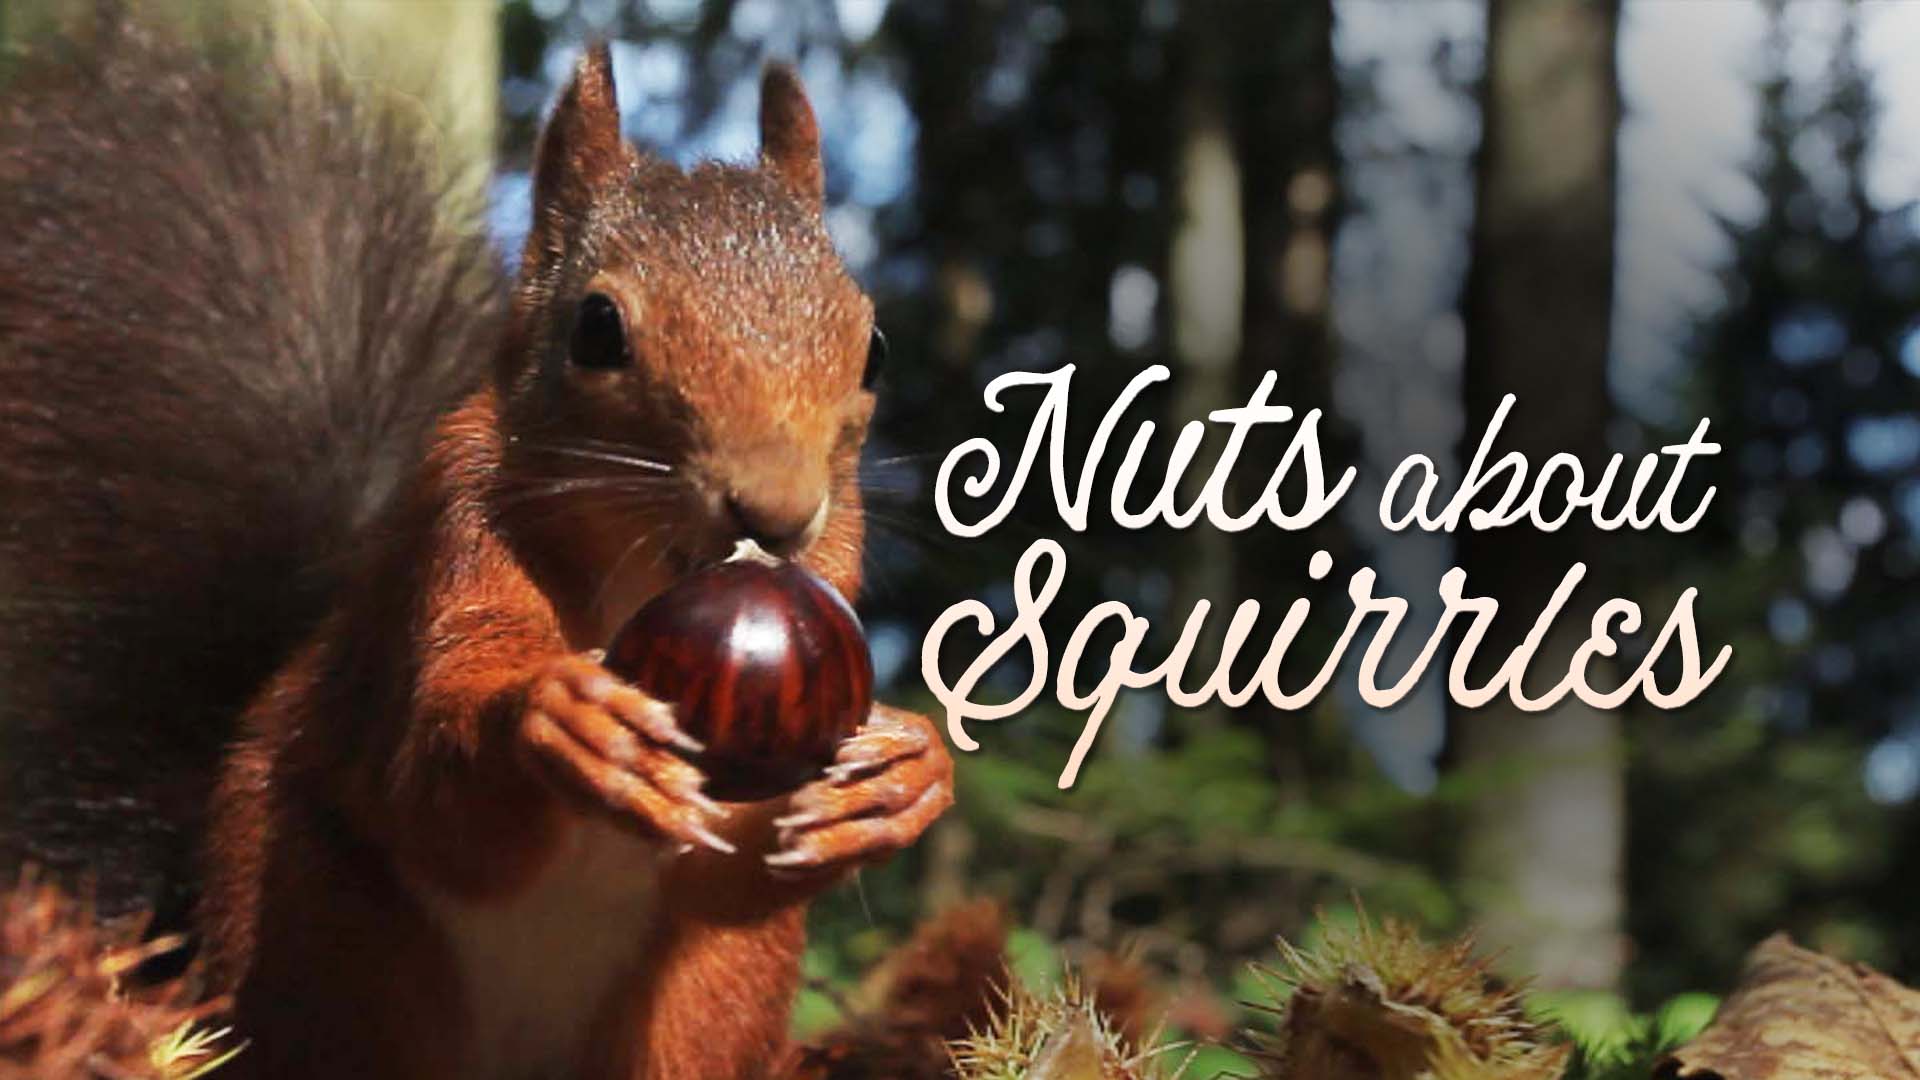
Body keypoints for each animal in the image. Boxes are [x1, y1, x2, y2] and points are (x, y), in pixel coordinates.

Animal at [0, 11, 953, 1079]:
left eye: (873, 350)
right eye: (597, 329)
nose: (778, 514)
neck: (640, 576)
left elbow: (728, 881)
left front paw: (908, 776)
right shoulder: (455, 542)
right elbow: (434, 789)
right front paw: (560, 720)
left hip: (709, 1000)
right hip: (323, 941)